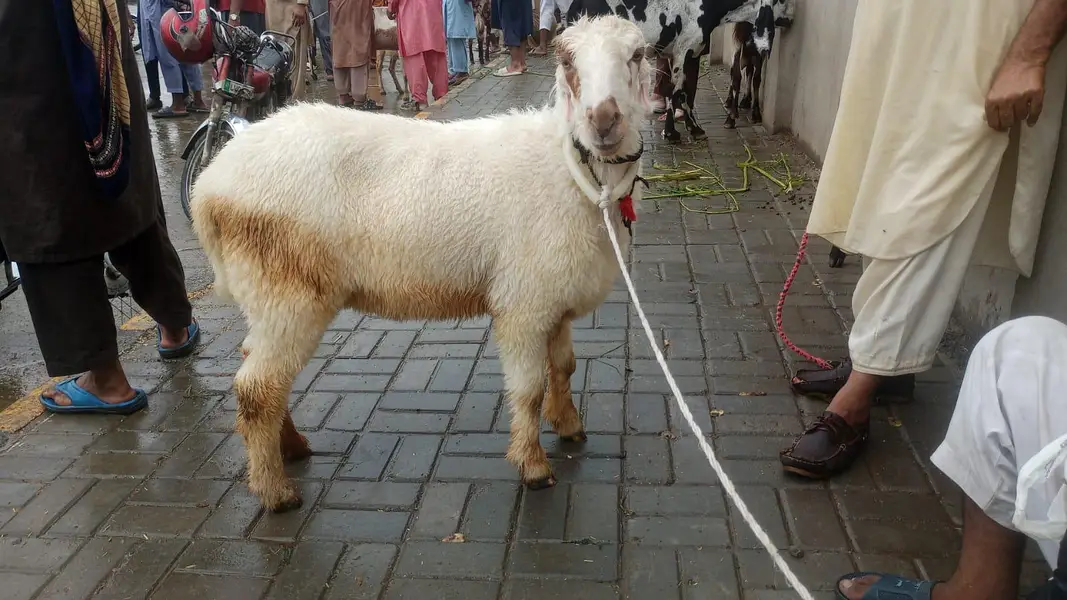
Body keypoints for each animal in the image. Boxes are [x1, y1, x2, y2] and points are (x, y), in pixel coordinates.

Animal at [190, 14, 653, 512]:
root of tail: (209, 184)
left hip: (268, 296)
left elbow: (563, 368)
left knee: (262, 373)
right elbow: (528, 390)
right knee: (258, 389)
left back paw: (291, 447)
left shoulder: (555, 298)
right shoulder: (523, 304)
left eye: (637, 55)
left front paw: (569, 426)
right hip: (286, 290)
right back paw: (276, 491)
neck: (570, 168)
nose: (603, 120)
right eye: (567, 62)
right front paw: (533, 466)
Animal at [567, 0, 793, 142]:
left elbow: (677, 91)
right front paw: (681, 132)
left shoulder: (679, 53)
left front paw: (681, 129)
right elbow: (679, 92)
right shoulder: (684, 51)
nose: (791, 18)